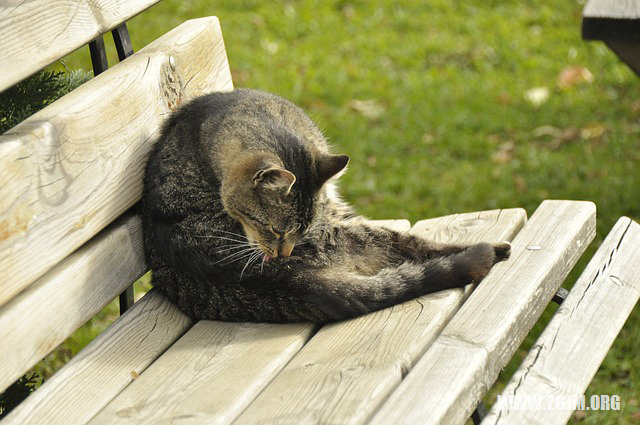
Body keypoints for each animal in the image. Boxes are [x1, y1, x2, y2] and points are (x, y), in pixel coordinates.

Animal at [142, 88, 512, 322]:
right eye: (273, 229)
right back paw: (493, 249)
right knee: (416, 246)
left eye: (300, 231)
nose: (283, 254)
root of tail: (296, 280)